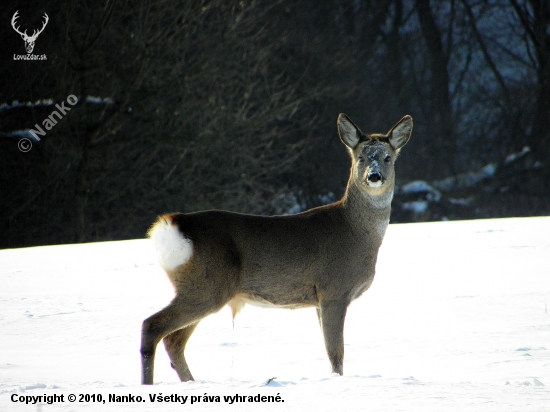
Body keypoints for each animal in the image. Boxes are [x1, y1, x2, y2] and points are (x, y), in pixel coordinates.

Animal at [142, 112, 414, 384]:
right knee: (152, 326)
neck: (355, 232)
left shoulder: (319, 299)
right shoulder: (333, 290)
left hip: (201, 288)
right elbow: (336, 353)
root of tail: (172, 225)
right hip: (207, 285)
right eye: (360, 157)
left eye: (387, 157)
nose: (374, 176)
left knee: (174, 341)